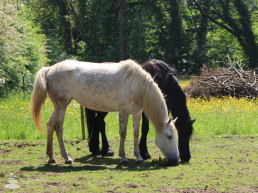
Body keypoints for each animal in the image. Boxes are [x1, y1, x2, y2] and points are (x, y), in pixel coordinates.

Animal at [30, 59, 179, 165]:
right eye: (169, 136)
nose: (176, 160)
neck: (136, 85)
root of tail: (49, 69)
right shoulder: (124, 111)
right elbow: (123, 133)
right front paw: (123, 157)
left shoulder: (137, 113)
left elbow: (136, 134)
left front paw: (139, 157)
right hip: (61, 106)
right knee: (58, 128)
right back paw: (66, 158)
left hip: (58, 107)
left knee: (50, 125)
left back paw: (51, 157)